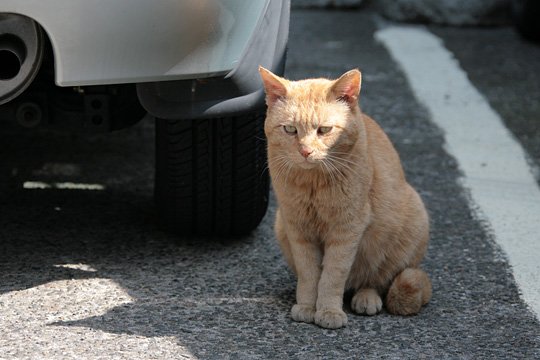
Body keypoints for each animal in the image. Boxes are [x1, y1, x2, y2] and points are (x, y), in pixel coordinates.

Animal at [260, 65, 432, 330]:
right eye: (290, 129)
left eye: (324, 130)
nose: (305, 151)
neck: (313, 184)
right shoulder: (297, 228)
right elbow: (309, 274)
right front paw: (307, 306)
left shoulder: (347, 228)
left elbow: (333, 275)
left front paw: (329, 311)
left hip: (411, 223)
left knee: (376, 279)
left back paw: (366, 297)